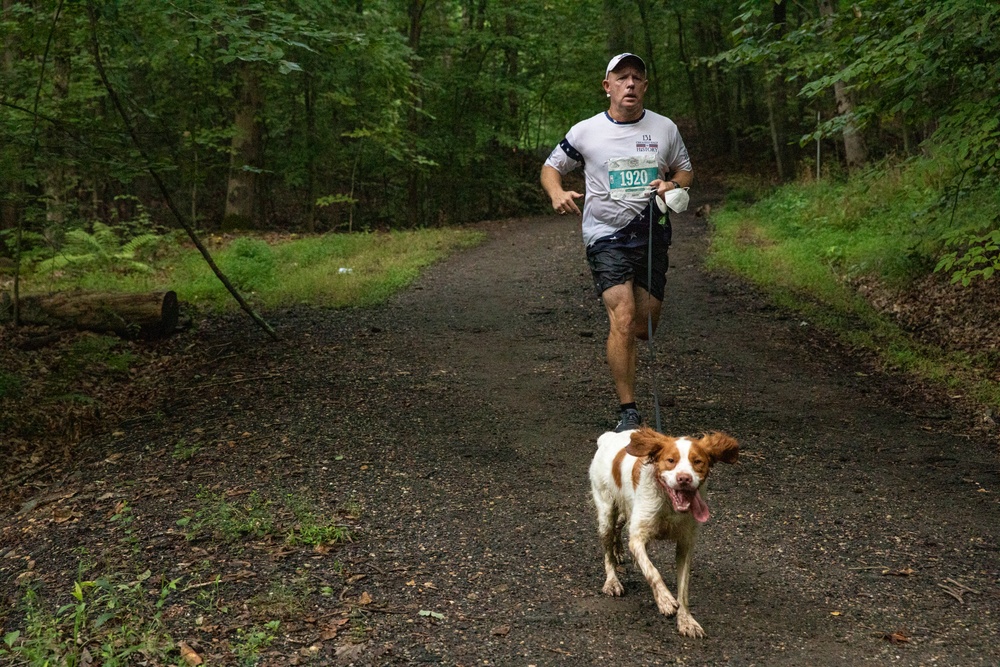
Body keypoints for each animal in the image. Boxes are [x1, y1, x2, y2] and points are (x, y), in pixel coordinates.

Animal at [584, 426, 744, 640]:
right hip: (606, 513)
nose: (684, 478)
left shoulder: (686, 544)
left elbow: (683, 589)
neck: (669, 504)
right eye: (670, 460)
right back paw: (612, 581)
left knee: (619, 527)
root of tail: (609, 437)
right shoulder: (638, 539)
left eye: (697, 461)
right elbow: (653, 572)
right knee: (608, 550)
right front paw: (665, 600)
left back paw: (619, 552)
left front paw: (687, 621)